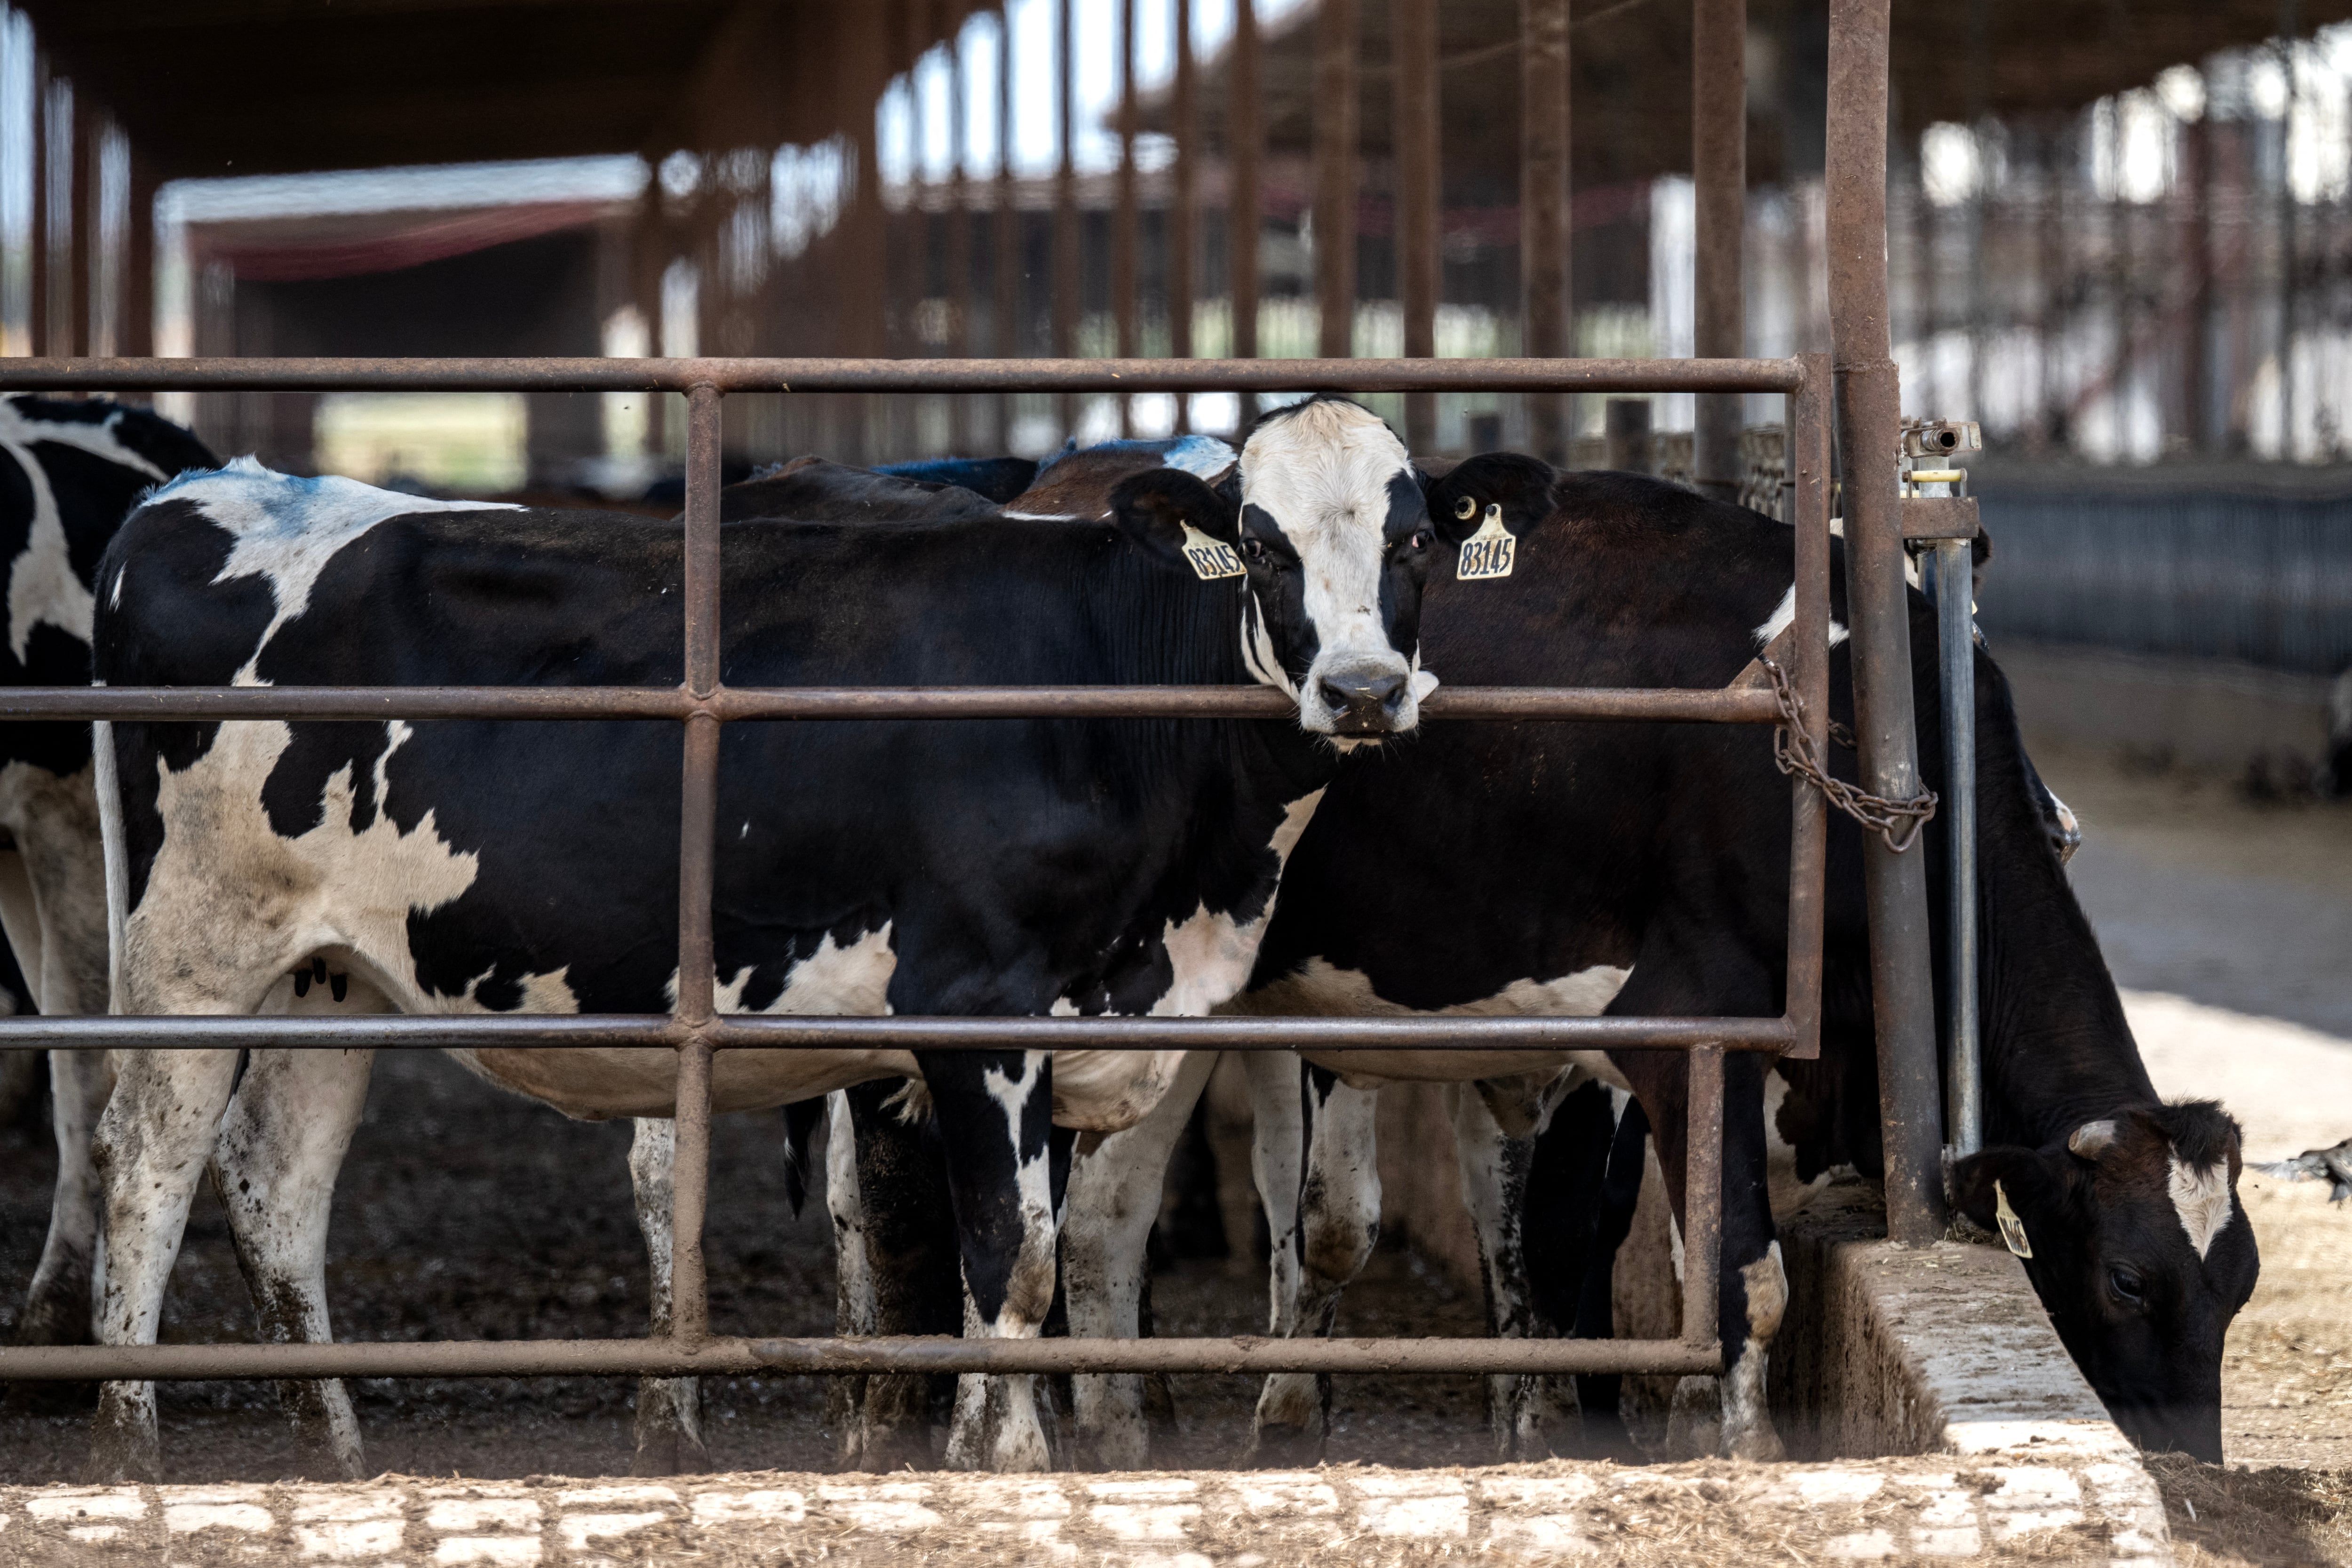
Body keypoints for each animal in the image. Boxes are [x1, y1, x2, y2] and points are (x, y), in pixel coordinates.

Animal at [78, 395, 1468, 1483]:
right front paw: (1012, 1466)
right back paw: (130, 1451)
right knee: (145, 1165)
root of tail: (200, 491)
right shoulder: (976, 1006)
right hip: (189, 956)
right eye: (1261, 546)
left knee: (273, 1187)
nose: (1361, 691)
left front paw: (974, 1449)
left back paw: (337, 1456)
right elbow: (1013, 1257)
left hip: (335, 974)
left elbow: (1011, 1264)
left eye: (1410, 543)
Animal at [1057, 453, 2257, 1468]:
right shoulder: (1684, 1014)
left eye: (2237, 1285)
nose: (2197, 1467)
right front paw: (1731, 1447)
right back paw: (1121, 1432)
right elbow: (1732, 1271)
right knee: (1100, 1215)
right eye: (2126, 1279)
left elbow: (1679, 1248)